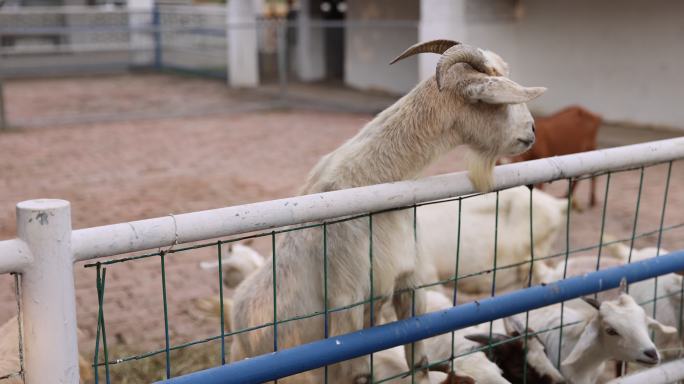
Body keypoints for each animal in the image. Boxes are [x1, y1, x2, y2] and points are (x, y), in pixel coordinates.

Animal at [230, 38, 544, 380]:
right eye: (493, 98)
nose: (531, 132)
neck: (370, 180)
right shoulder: (346, 302)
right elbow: (358, 373)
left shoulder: (407, 279)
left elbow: (418, 361)